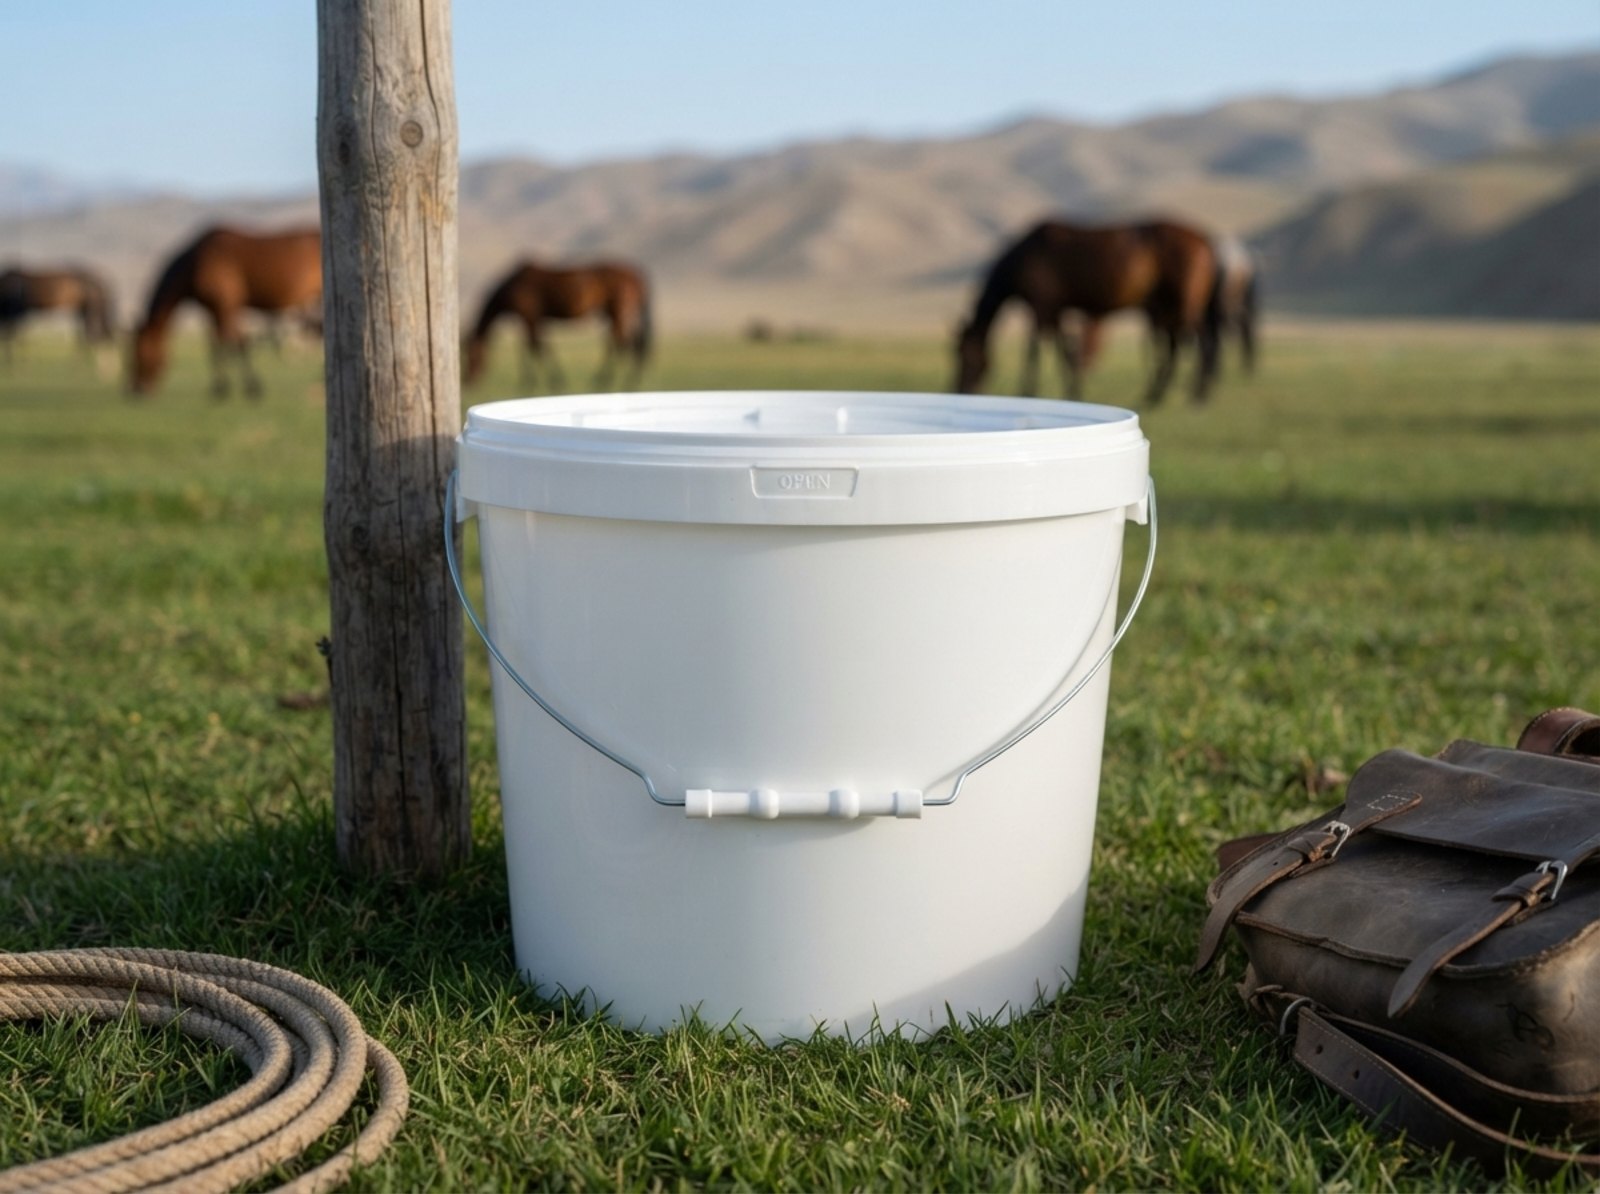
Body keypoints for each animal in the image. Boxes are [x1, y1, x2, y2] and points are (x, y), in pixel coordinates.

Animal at [129, 226, 322, 397]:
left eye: (140, 352)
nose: (138, 390)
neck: (196, 262)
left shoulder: (226, 305)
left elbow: (235, 343)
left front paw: (246, 387)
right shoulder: (215, 309)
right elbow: (217, 344)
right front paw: (223, 387)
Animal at [463, 259, 651, 390]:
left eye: (472, 355)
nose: (468, 382)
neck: (515, 285)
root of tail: (635, 275)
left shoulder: (530, 318)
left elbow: (536, 348)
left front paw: (545, 382)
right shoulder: (532, 320)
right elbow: (532, 347)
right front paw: (532, 382)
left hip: (618, 311)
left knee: (623, 344)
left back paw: (607, 381)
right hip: (618, 313)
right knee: (627, 344)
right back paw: (624, 380)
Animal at [953, 219, 1220, 404]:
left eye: (965, 355)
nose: (959, 390)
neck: (1025, 256)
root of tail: (1204, 240)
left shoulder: (1041, 307)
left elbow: (1034, 352)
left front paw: (1027, 392)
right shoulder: (1055, 310)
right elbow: (1066, 353)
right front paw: (1073, 392)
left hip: (1184, 305)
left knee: (1202, 343)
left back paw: (1198, 396)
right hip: (1166, 306)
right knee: (1174, 348)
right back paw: (1155, 396)